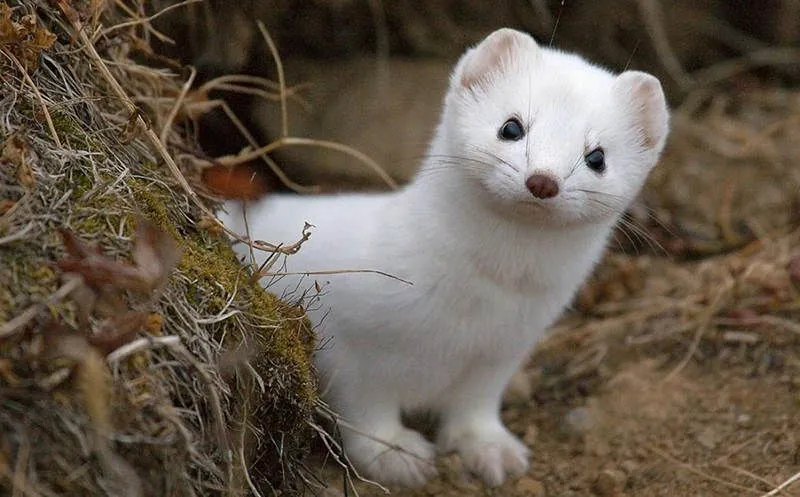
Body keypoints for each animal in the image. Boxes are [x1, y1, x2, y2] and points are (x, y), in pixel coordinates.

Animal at [217, 29, 668, 486]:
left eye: (598, 156)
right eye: (511, 126)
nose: (543, 181)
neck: (471, 309)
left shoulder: (503, 350)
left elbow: (475, 404)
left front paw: (490, 448)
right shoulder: (344, 336)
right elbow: (364, 405)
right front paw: (394, 452)